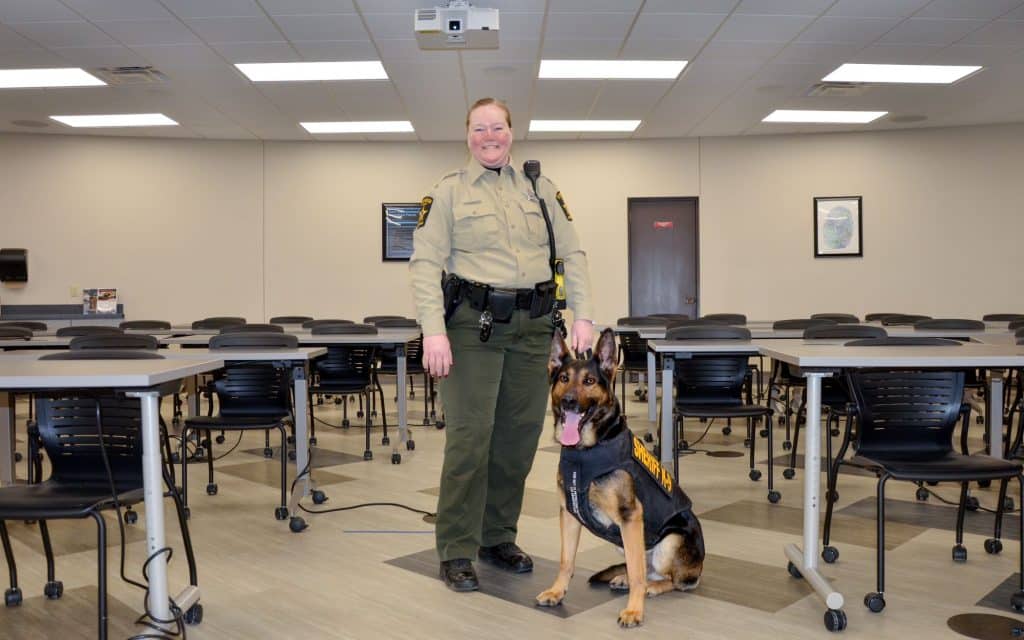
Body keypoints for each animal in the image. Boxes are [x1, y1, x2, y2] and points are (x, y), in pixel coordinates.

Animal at [536, 327, 704, 626]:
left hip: (669, 540)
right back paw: (625, 578)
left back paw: (652, 587)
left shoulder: (630, 516)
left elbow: (638, 573)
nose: (568, 402)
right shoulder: (569, 513)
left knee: (670, 579)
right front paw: (557, 591)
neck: (586, 451)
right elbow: (566, 561)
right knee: (643, 567)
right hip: (623, 542)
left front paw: (634, 610)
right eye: (564, 379)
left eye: (589, 381)